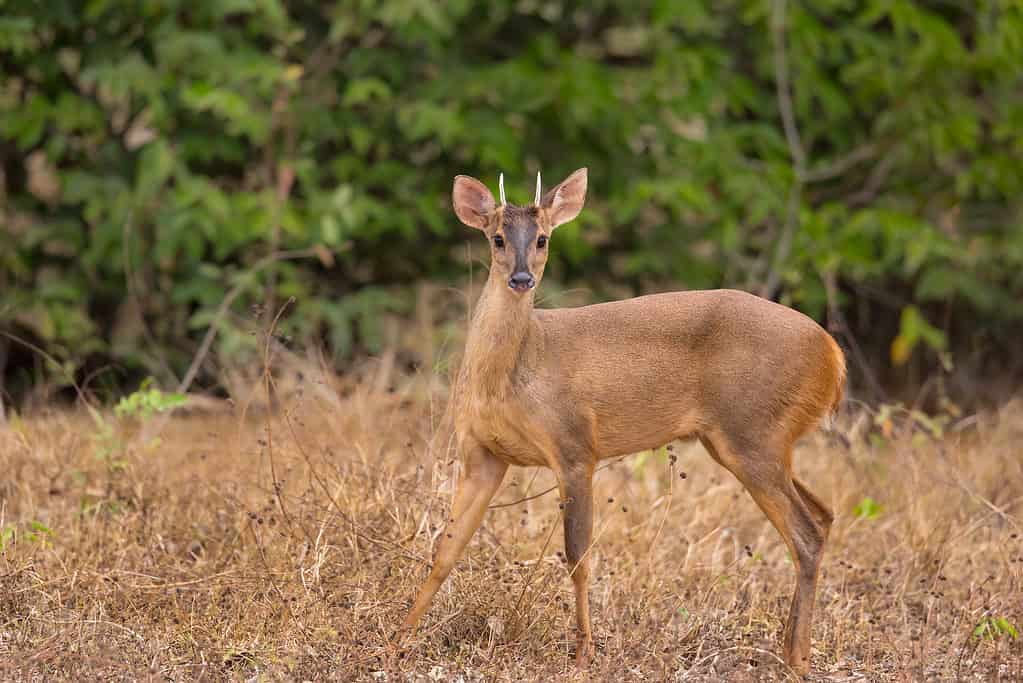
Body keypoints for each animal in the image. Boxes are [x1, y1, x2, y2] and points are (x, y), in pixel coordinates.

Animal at [401, 167, 847, 674]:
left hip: (753, 432)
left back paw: (797, 658)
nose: (521, 278)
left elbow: (578, 556)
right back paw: (789, 647)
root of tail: (833, 356)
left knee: (806, 532)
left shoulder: (575, 445)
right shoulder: (483, 454)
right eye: (497, 238)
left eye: (542, 238)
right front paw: (401, 638)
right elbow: (446, 548)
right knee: (824, 514)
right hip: (751, 440)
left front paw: (583, 653)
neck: (511, 374)